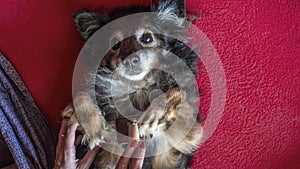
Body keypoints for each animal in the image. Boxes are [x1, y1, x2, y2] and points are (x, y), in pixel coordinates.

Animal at [64, 0, 203, 168]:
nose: (129, 60)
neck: (138, 87)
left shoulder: (188, 135)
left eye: (147, 38)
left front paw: (151, 117)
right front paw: (94, 128)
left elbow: (176, 92)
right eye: (115, 45)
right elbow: (80, 95)